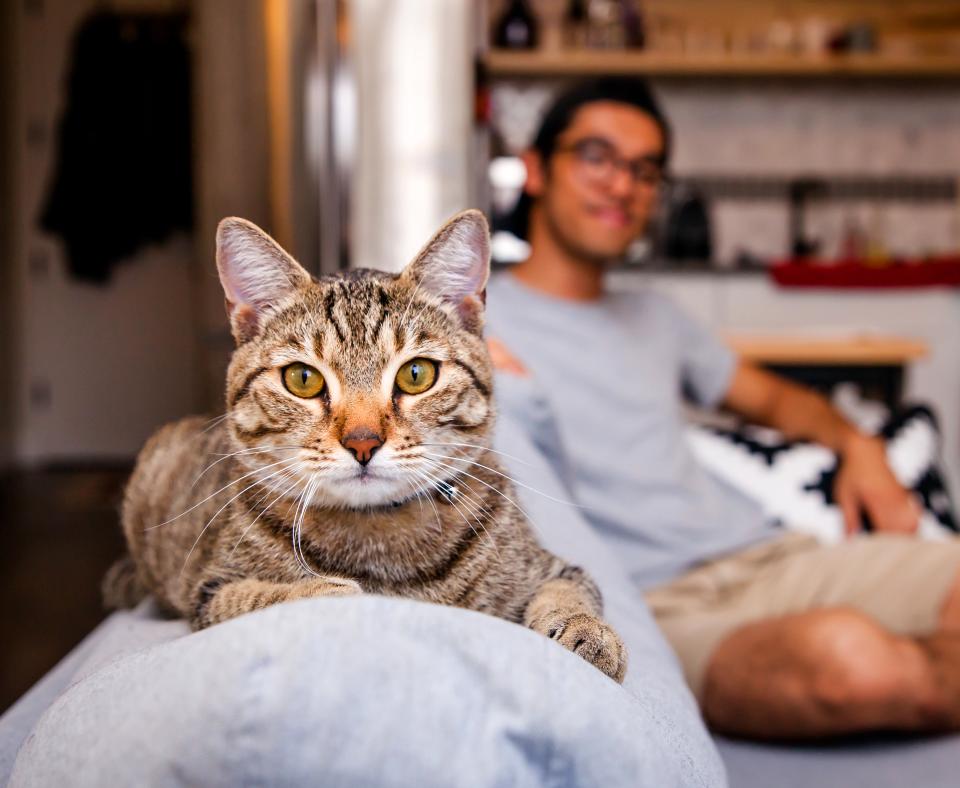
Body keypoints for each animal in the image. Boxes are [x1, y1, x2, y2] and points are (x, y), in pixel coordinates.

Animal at [105, 211, 628, 684]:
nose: (362, 442)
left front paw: (589, 632)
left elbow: (571, 592)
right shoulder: (210, 588)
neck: (381, 538)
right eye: (302, 378)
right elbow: (264, 597)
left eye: (416, 374)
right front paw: (328, 593)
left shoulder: (553, 567)